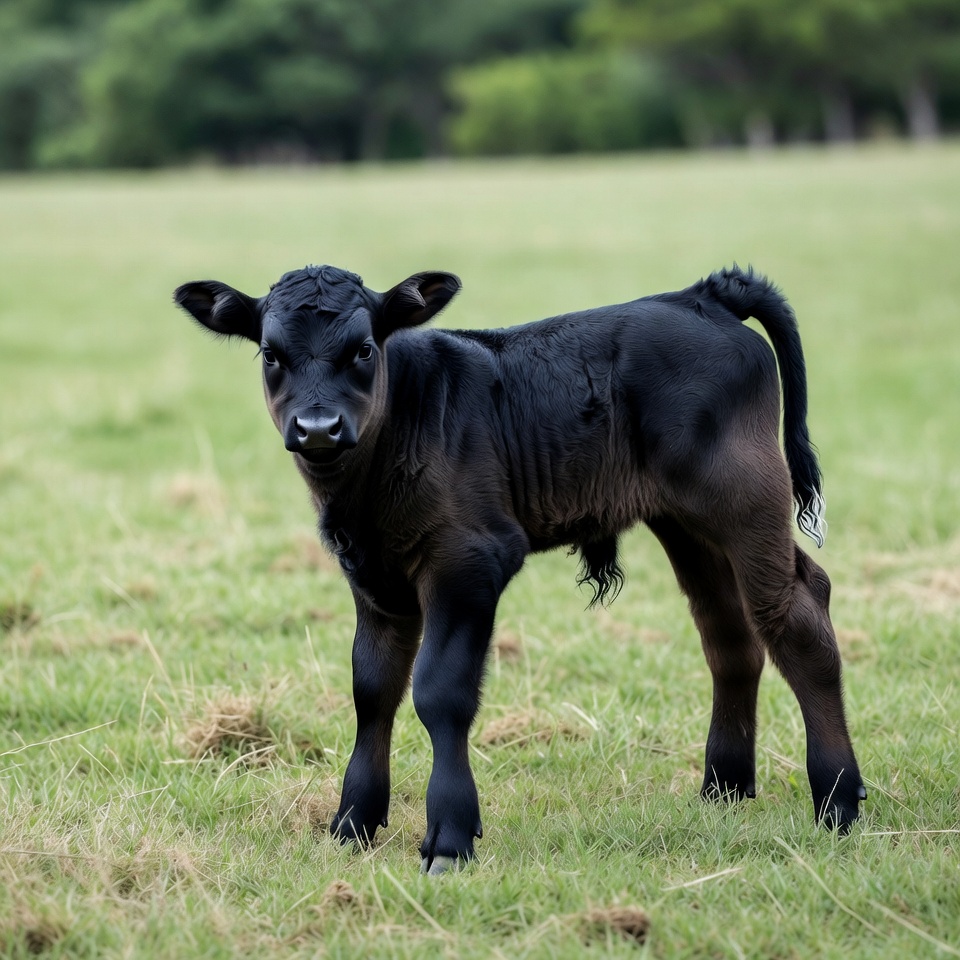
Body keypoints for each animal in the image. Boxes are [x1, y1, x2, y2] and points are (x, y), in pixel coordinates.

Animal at [174, 263, 864, 874]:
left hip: (745, 499)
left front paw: (450, 838)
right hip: (687, 525)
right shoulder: (373, 578)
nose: (318, 427)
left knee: (797, 617)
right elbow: (372, 690)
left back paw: (838, 802)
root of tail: (702, 294)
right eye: (271, 354)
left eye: (365, 349)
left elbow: (439, 691)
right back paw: (724, 790)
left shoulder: (470, 559)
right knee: (730, 634)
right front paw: (352, 825)